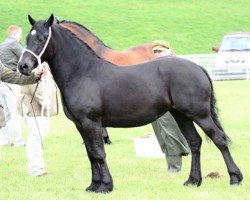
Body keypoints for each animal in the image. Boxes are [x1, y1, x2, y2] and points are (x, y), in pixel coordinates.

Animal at [18, 14, 243, 192]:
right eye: (27, 38)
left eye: (41, 38)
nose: (23, 66)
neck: (82, 72)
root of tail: (198, 68)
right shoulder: (80, 125)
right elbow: (91, 154)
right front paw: (93, 185)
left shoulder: (91, 123)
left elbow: (99, 153)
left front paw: (106, 186)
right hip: (181, 115)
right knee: (195, 142)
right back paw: (193, 181)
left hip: (200, 114)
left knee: (219, 139)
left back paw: (235, 177)